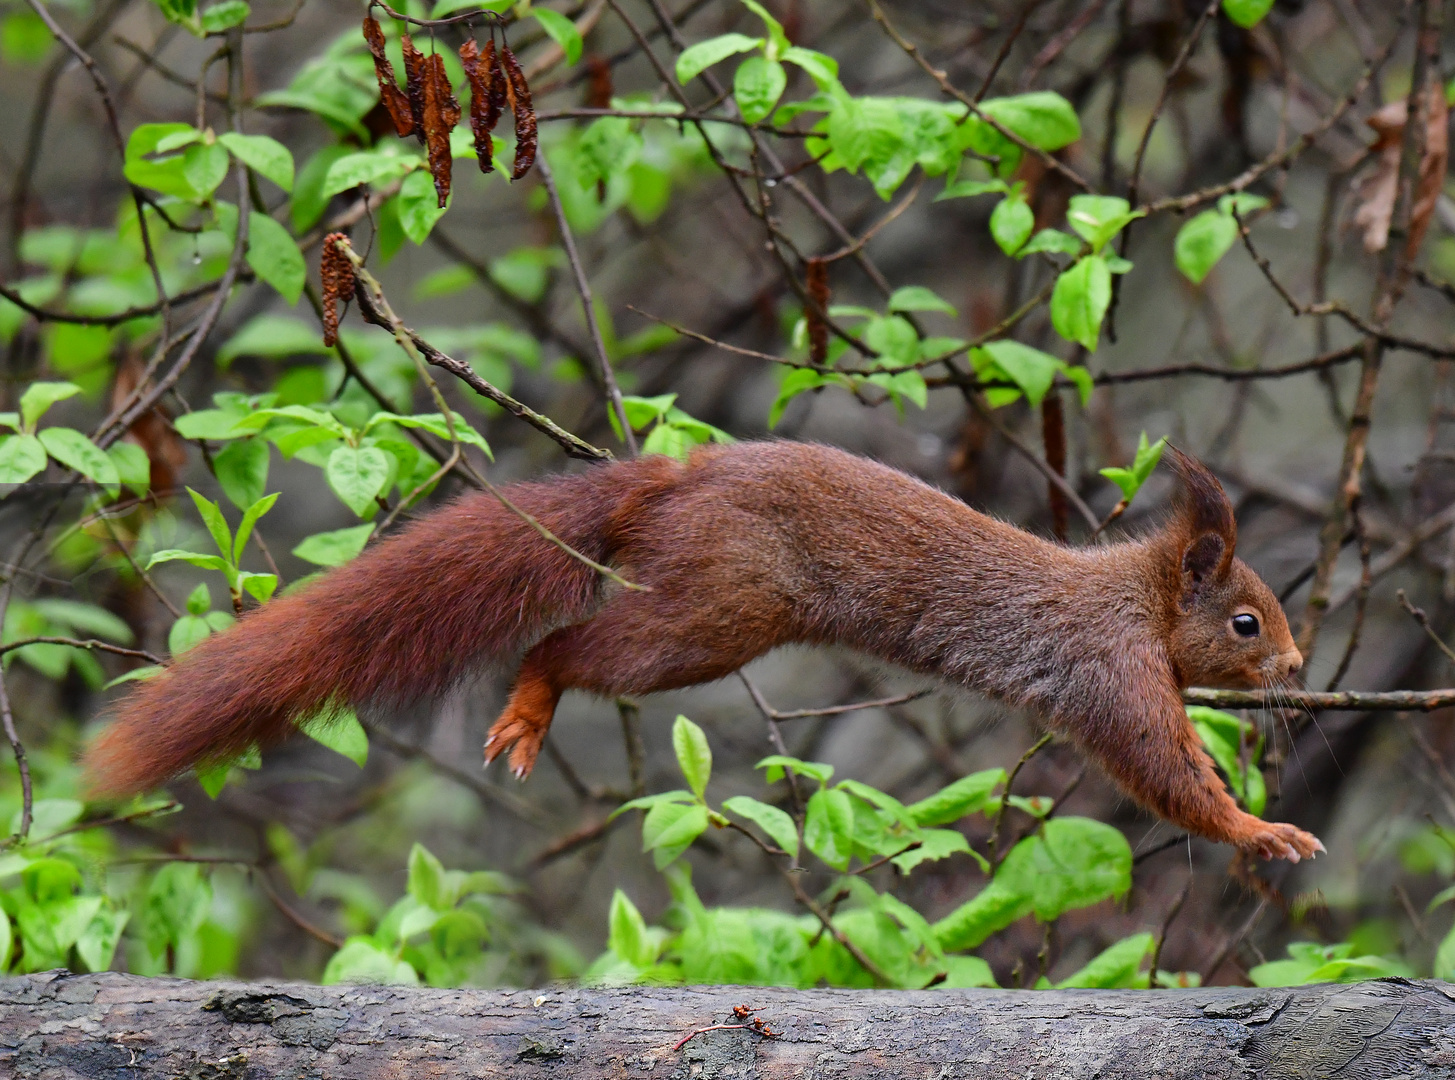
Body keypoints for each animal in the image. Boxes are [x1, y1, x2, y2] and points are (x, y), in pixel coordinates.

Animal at [85, 439, 1326, 861]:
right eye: (1248, 621)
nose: (1298, 672)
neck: (1140, 600)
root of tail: (673, 479)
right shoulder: (1108, 670)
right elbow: (1166, 773)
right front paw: (1261, 831)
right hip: (714, 614)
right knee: (573, 644)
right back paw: (530, 707)